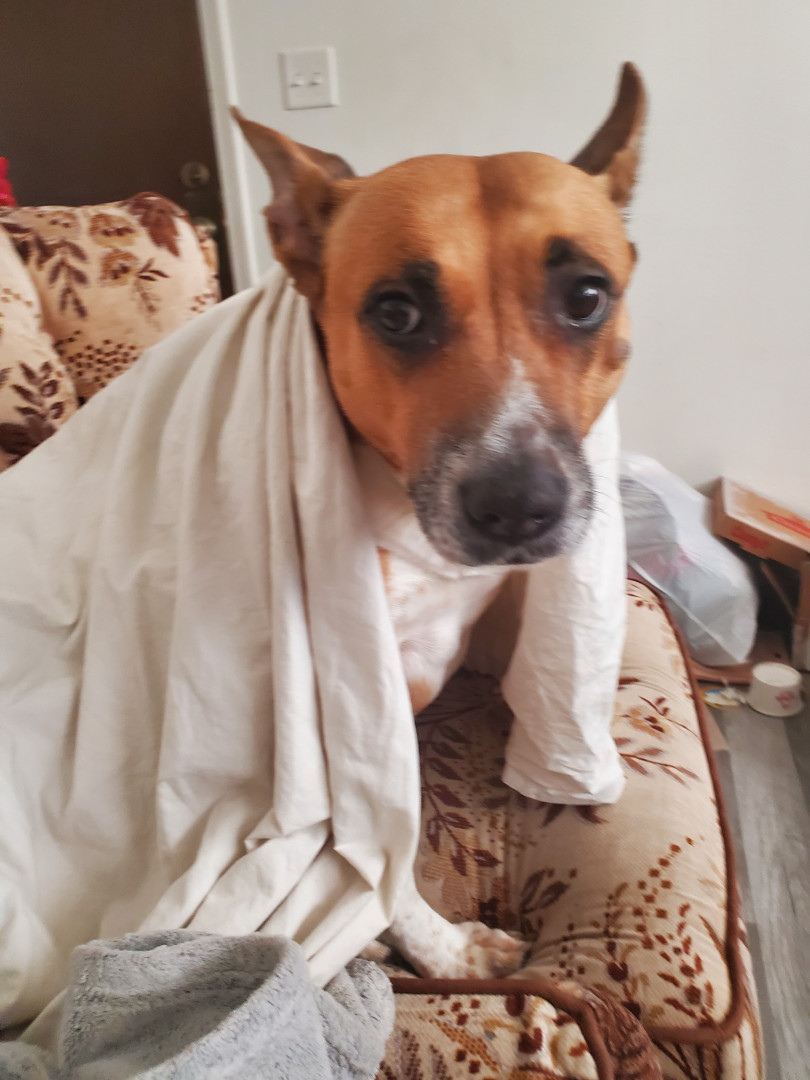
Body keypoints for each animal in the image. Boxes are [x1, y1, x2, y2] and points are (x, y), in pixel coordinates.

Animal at [232, 62, 645, 979]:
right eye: (395, 313)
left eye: (587, 295)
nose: (520, 505)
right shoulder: (339, 732)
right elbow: (374, 861)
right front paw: (445, 950)